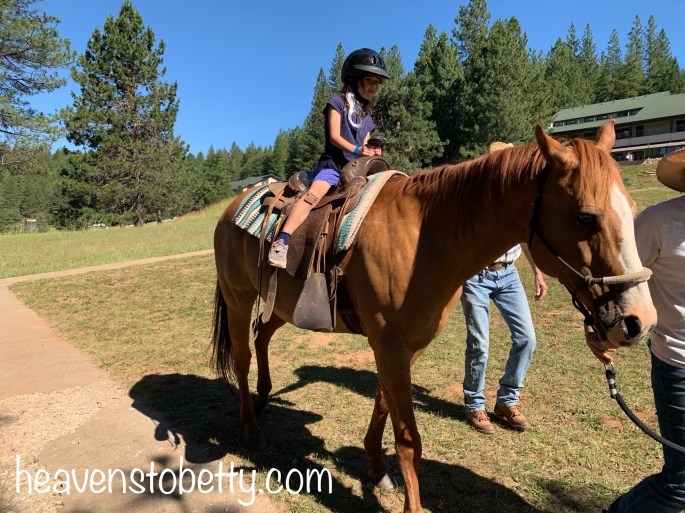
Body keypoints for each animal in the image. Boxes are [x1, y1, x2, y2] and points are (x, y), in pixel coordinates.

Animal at [211, 120, 656, 513]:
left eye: (633, 207)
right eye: (586, 217)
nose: (640, 320)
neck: (424, 237)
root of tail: (233, 207)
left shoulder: (406, 346)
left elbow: (384, 404)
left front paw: (376, 468)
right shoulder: (390, 346)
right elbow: (409, 440)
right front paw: (409, 501)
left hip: (280, 305)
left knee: (262, 334)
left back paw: (264, 397)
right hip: (238, 298)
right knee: (242, 357)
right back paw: (251, 427)